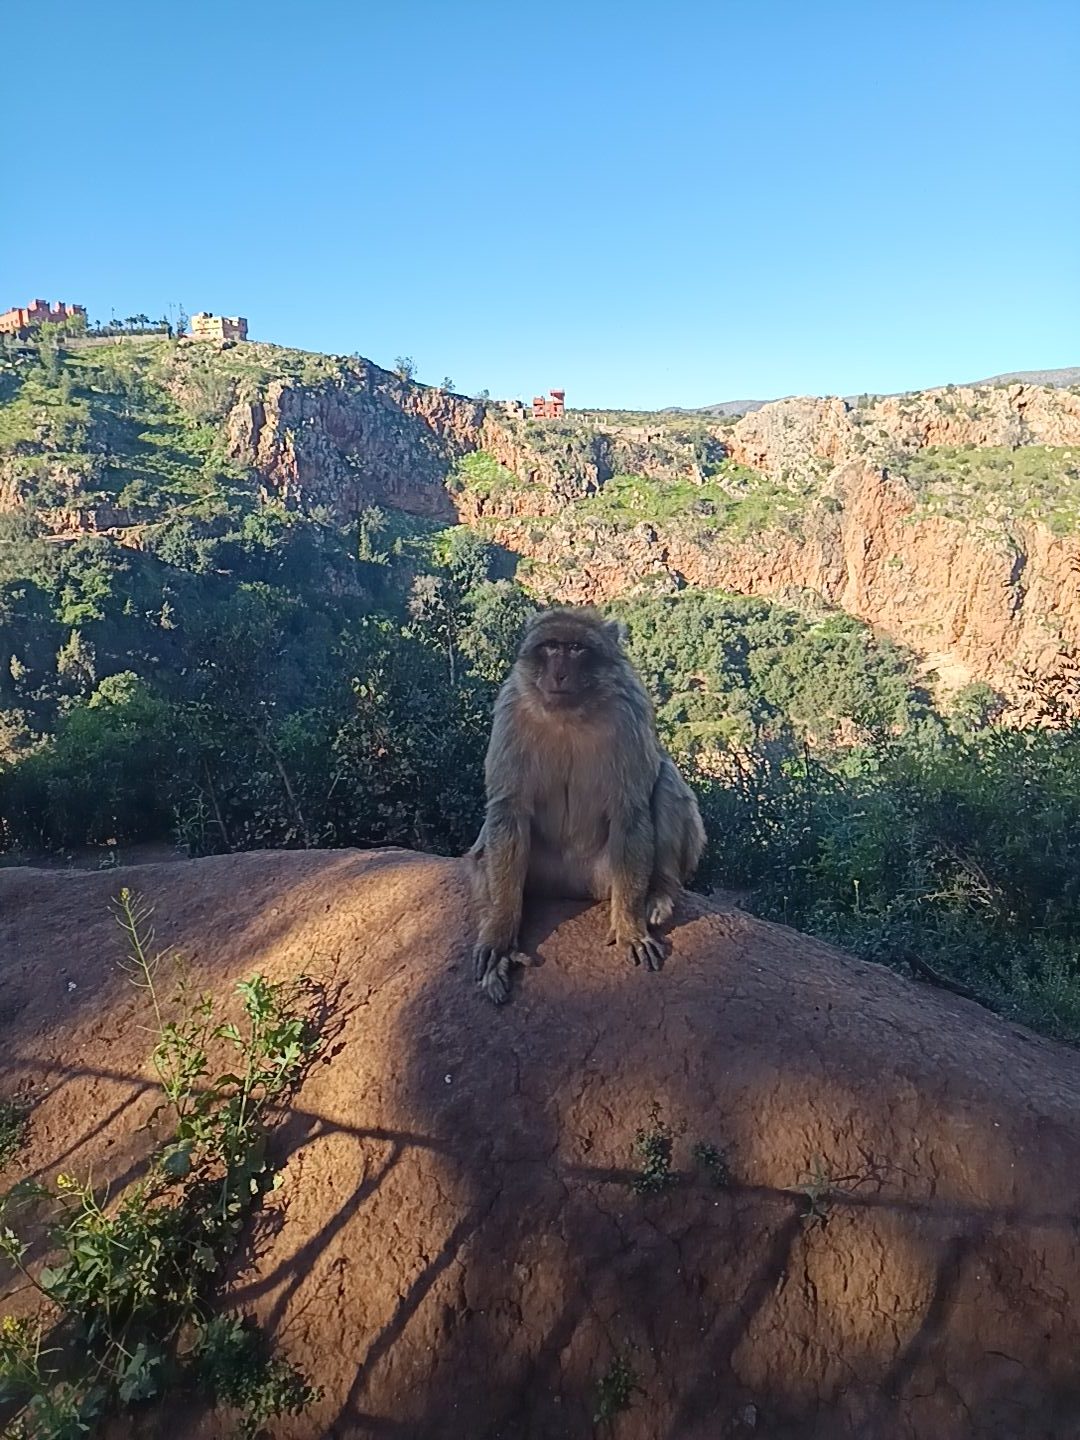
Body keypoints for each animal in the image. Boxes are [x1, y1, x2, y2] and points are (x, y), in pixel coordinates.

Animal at [468, 606, 706, 1004]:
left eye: (577, 649)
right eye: (551, 646)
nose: (559, 672)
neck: (569, 714)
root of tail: (572, 886)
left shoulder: (630, 710)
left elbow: (631, 810)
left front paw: (630, 928)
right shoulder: (511, 709)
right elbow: (508, 809)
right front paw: (499, 934)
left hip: (607, 871)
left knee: (664, 780)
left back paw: (660, 892)